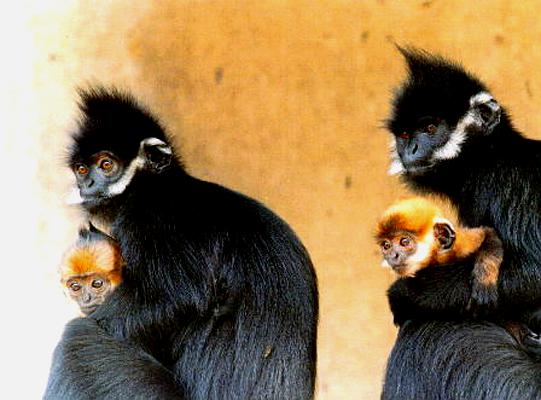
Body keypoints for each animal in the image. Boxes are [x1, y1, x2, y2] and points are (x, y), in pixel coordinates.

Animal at [46, 88, 318, 400]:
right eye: (81, 170)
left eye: (106, 165)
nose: (87, 185)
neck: (156, 184)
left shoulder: (155, 216)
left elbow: (173, 299)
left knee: (78, 340)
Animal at [380, 49, 540, 400]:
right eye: (405, 135)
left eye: (429, 127)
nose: (410, 149)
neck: (489, 156)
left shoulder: (503, 181)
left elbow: (534, 272)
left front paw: (406, 293)